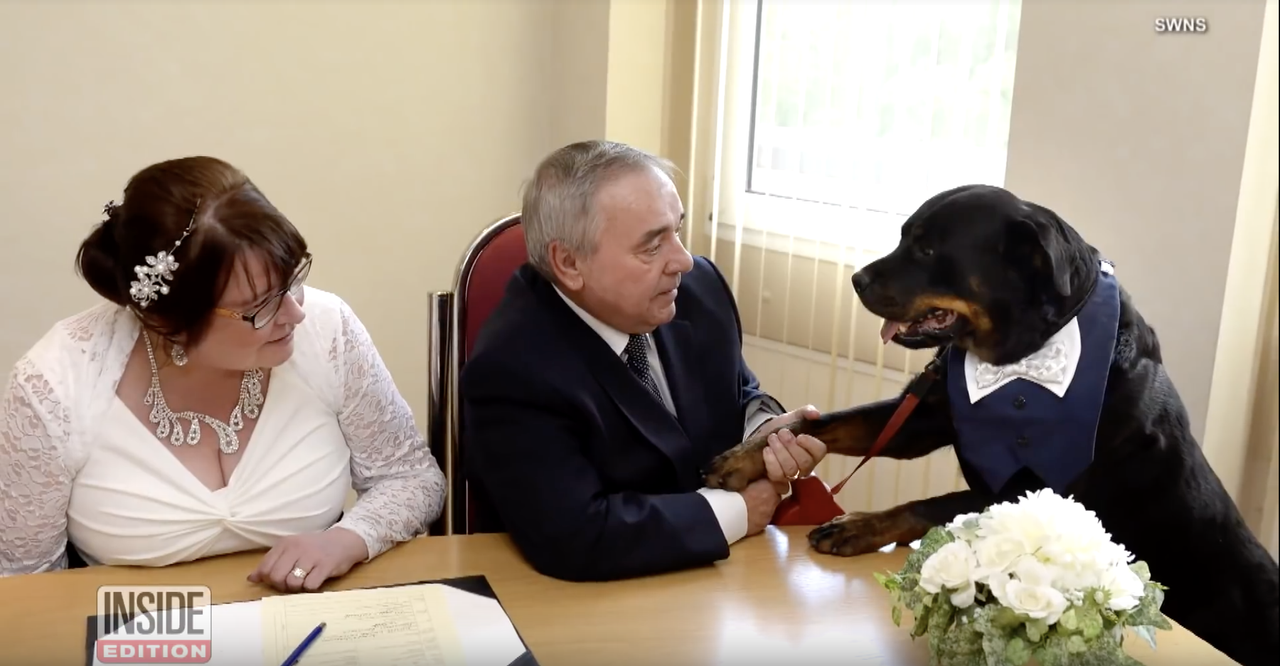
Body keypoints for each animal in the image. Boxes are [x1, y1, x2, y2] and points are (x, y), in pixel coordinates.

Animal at [706, 183, 1274, 666]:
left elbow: (931, 505)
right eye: (904, 238)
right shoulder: (925, 417)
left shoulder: (1037, 489)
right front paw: (745, 458)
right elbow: (817, 426)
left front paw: (859, 524)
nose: (856, 280)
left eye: (928, 251)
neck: (1023, 358)